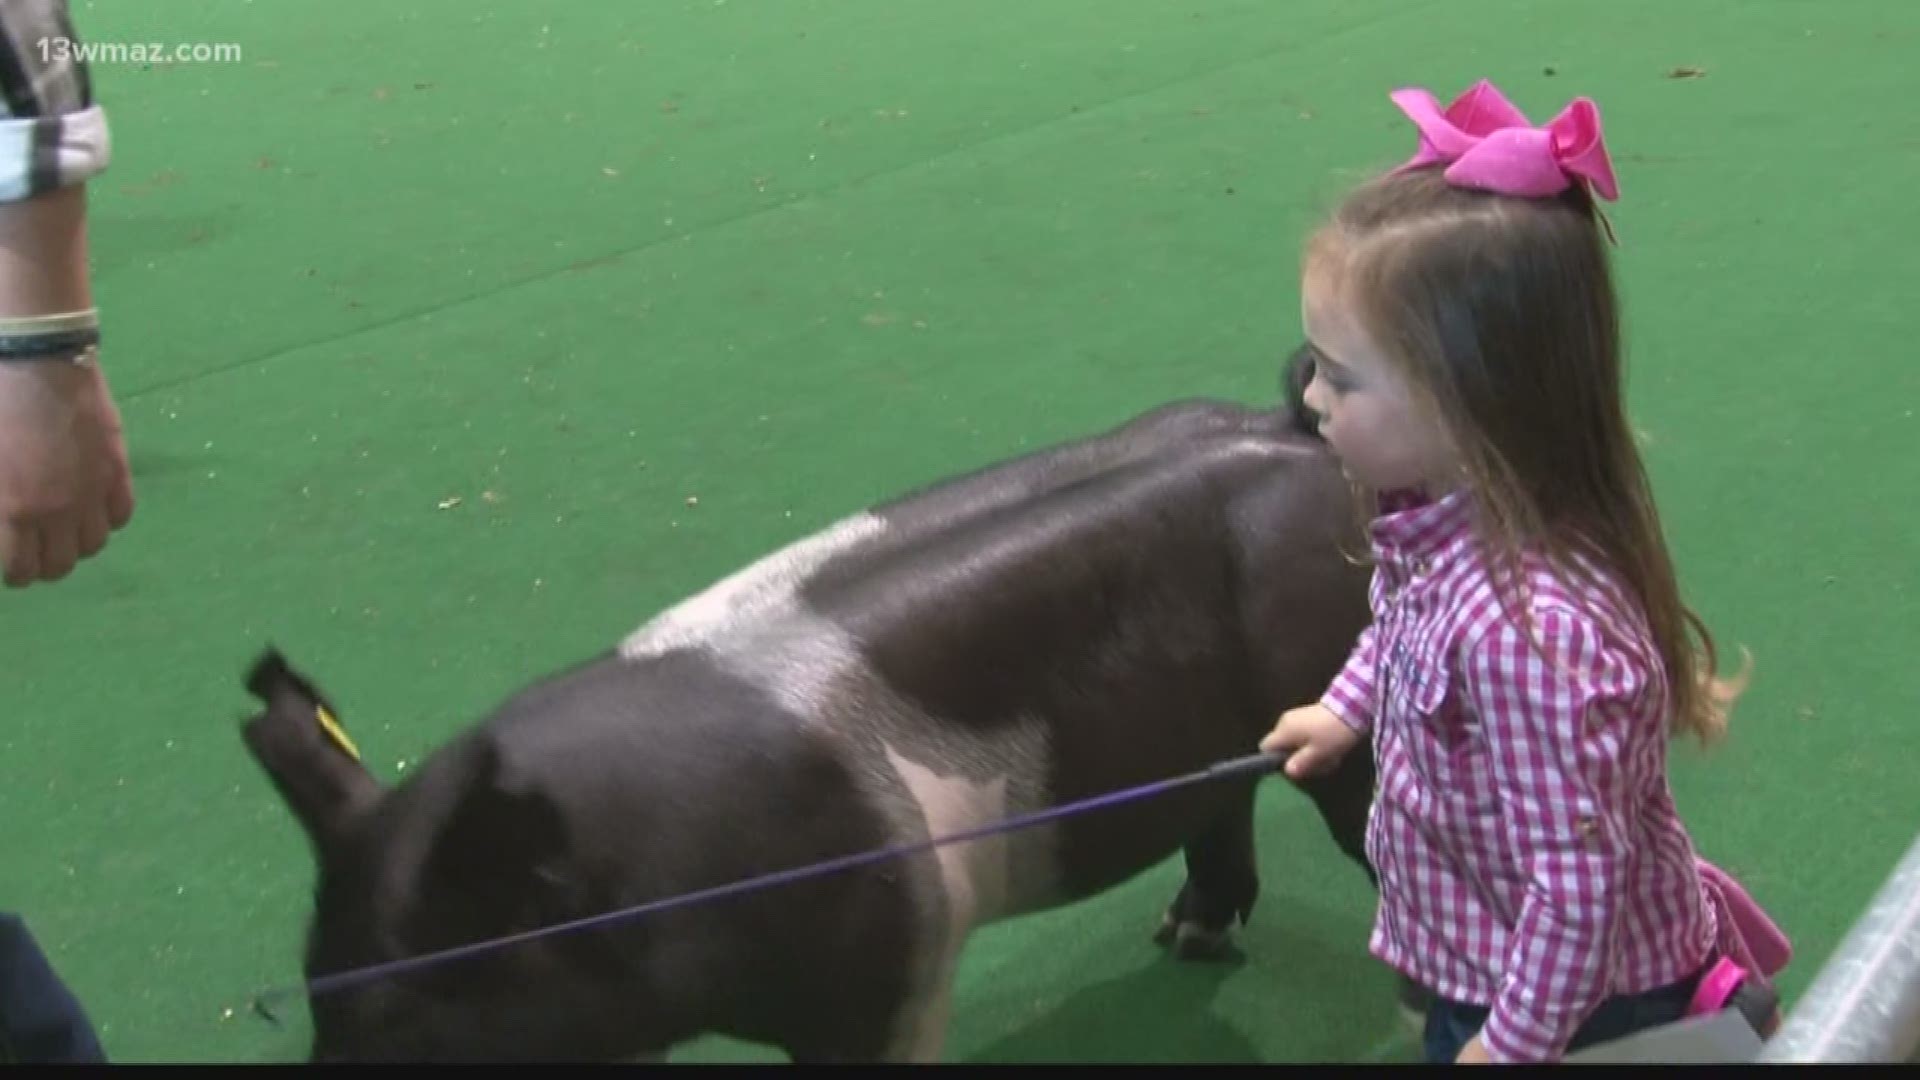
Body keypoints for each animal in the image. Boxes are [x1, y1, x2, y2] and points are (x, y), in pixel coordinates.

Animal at [240, 345, 1382, 1060]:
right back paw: (1182, 938)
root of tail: (1292, 432)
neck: (637, 886)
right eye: (319, 1002)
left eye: (412, 1019)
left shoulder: (886, 968)